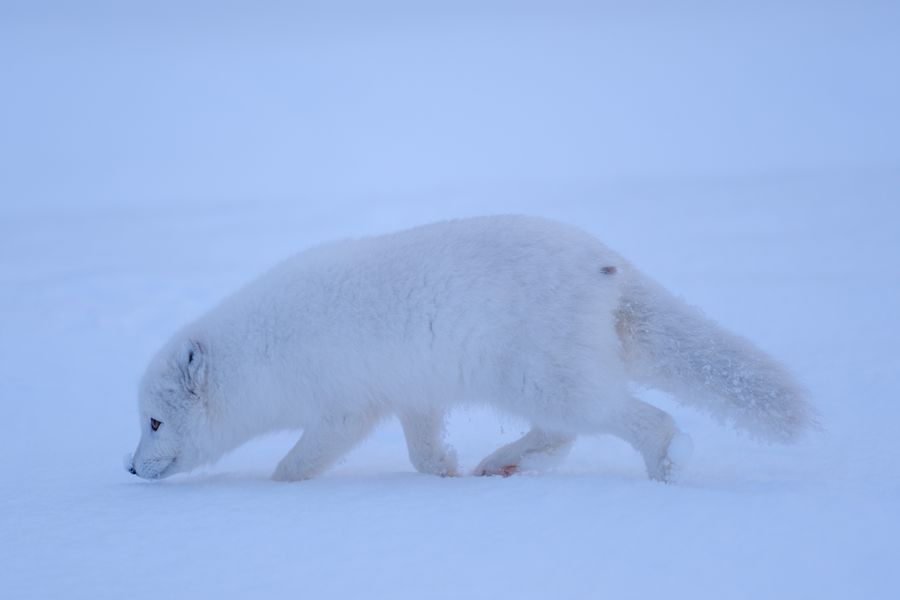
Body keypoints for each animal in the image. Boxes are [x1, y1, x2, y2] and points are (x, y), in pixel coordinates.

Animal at [126, 215, 814, 482]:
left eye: (153, 422)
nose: (130, 469)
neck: (262, 355)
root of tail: (607, 263)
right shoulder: (410, 391)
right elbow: (421, 447)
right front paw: (445, 471)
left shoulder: (343, 407)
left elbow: (299, 461)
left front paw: (274, 486)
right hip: (545, 381)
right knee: (562, 435)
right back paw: (504, 465)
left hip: (546, 378)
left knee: (640, 419)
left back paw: (667, 463)